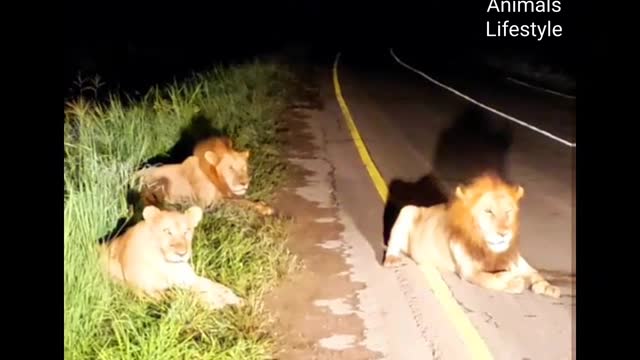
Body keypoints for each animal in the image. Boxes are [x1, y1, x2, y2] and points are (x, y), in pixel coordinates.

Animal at [100, 205, 245, 310]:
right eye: (167, 231)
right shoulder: (146, 291)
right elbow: (182, 295)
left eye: (186, 231)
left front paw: (236, 299)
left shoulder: (187, 278)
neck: (166, 264)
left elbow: (214, 285)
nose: (182, 253)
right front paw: (214, 302)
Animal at [136, 135, 274, 214]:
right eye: (230, 168)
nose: (244, 183)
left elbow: (242, 199)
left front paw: (261, 204)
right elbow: (240, 202)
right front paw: (263, 208)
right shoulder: (208, 203)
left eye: (244, 167)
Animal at [384, 172, 560, 298]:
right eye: (488, 212)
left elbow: (535, 273)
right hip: (408, 210)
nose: (503, 234)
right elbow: (492, 280)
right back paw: (392, 260)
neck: (492, 251)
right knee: (392, 244)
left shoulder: (522, 265)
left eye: (508, 211)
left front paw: (549, 287)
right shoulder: (470, 272)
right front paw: (514, 282)